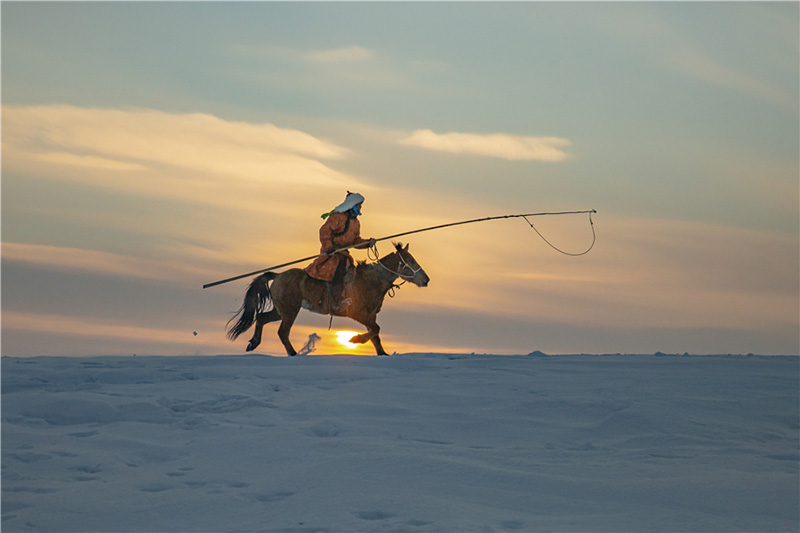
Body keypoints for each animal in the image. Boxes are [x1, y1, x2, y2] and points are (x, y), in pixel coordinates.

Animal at [226, 243, 429, 356]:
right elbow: (375, 331)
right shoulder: (359, 314)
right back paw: (293, 354)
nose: (426, 280)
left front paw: (382, 353)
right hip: (290, 311)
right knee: (282, 332)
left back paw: (253, 343)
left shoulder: (370, 317)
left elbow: (376, 337)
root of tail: (277, 276)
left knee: (261, 318)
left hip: (280, 310)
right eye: (411, 261)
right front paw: (355, 339)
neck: (372, 280)